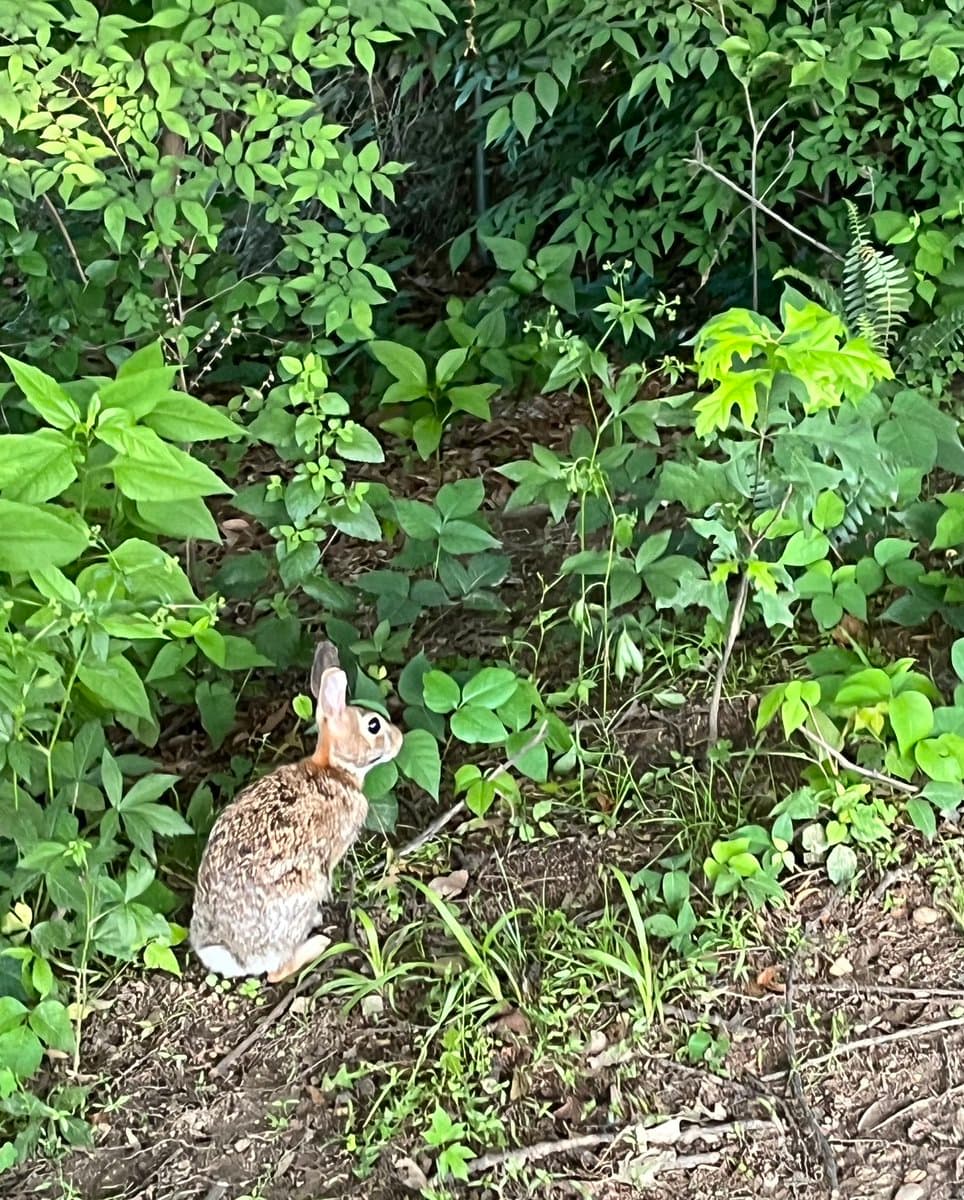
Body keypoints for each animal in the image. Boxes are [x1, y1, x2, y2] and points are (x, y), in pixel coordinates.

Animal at [189, 641, 403, 982]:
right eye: (374, 726)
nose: (399, 739)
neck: (334, 770)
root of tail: (232, 954)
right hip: (303, 889)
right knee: (276, 972)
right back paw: (316, 942)